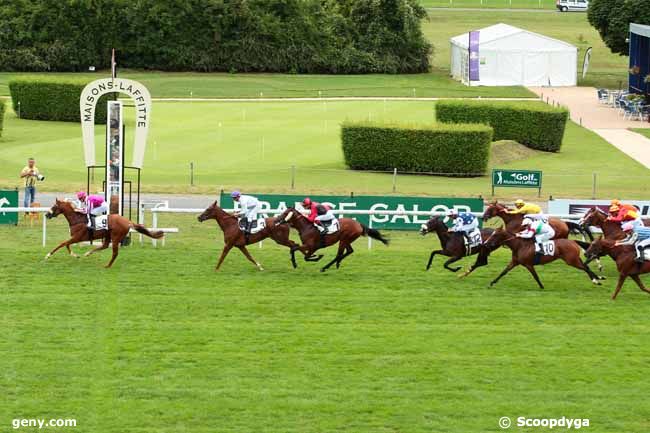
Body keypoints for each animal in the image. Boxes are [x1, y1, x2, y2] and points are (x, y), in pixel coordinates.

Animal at [464, 228, 600, 288]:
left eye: (495, 235)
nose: (486, 243)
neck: (519, 245)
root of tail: (573, 241)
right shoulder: (514, 262)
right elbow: (503, 272)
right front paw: (492, 282)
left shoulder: (528, 264)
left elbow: (535, 276)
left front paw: (541, 286)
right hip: (574, 259)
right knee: (586, 266)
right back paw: (597, 278)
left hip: (571, 261)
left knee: (585, 268)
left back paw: (597, 279)